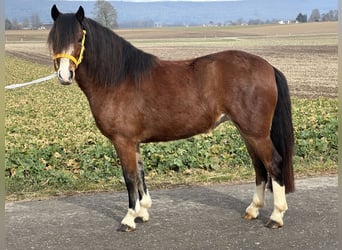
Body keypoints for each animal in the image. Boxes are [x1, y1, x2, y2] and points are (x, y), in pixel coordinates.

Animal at [47, 4, 294, 232]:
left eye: (80, 38)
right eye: (54, 39)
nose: (65, 75)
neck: (119, 79)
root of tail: (268, 67)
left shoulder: (123, 141)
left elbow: (129, 177)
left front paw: (129, 218)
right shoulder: (134, 142)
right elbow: (140, 175)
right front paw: (143, 212)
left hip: (256, 133)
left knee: (274, 164)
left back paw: (276, 216)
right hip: (247, 132)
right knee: (259, 167)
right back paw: (253, 210)